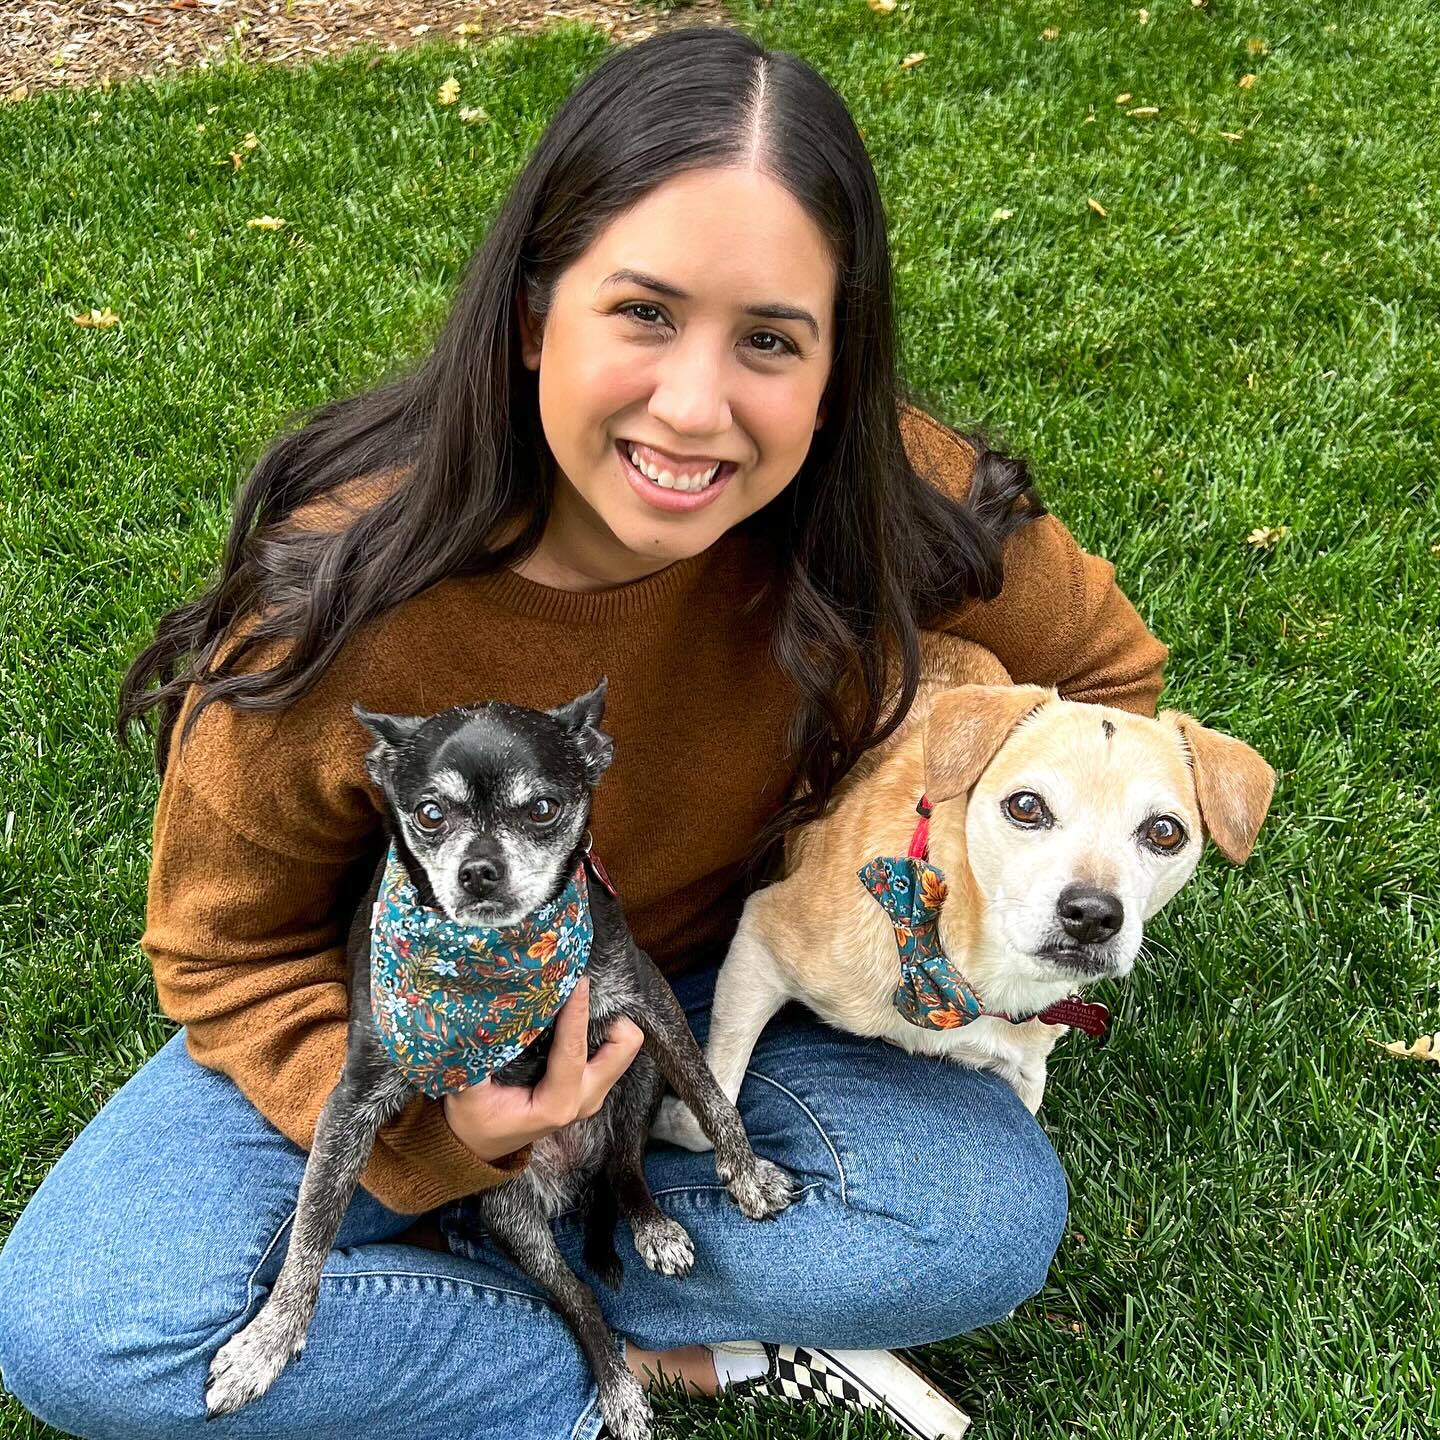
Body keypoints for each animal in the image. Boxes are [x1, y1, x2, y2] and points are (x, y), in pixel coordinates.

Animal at [203, 676, 794, 1440]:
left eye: (542, 808)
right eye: (430, 814)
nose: (479, 869)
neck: (498, 969)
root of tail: (570, 1182)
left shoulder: (649, 1001)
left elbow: (710, 1094)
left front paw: (746, 1175)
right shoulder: (352, 1100)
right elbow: (311, 1224)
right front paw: (266, 1344)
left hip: (633, 1074)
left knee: (626, 1167)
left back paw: (654, 1227)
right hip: (514, 1220)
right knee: (579, 1301)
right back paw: (619, 1389)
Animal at [653, 639, 1272, 1134]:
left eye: (1165, 832)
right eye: (1026, 806)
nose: (1093, 914)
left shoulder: (1024, 1074)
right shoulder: (759, 938)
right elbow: (712, 1106)